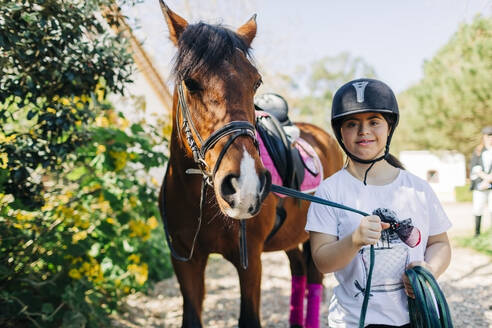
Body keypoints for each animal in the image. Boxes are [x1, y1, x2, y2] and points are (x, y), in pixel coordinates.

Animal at [158, 1, 342, 326]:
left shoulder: (250, 260)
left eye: (255, 82)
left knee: (314, 278)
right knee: (298, 271)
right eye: (190, 83)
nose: (244, 186)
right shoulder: (185, 261)